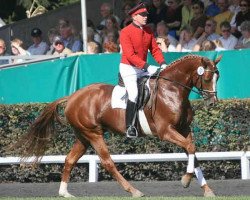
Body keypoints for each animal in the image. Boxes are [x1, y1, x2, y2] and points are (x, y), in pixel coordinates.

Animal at [13, 54, 221, 198]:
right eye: (207, 77)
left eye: (217, 77)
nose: (213, 102)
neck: (171, 90)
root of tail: (73, 96)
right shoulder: (166, 131)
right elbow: (190, 147)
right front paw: (185, 180)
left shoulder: (184, 130)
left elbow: (193, 152)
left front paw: (207, 190)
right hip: (94, 134)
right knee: (107, 162)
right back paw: (134, 191)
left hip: (83, 136)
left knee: (70, 159)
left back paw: (64, 193)